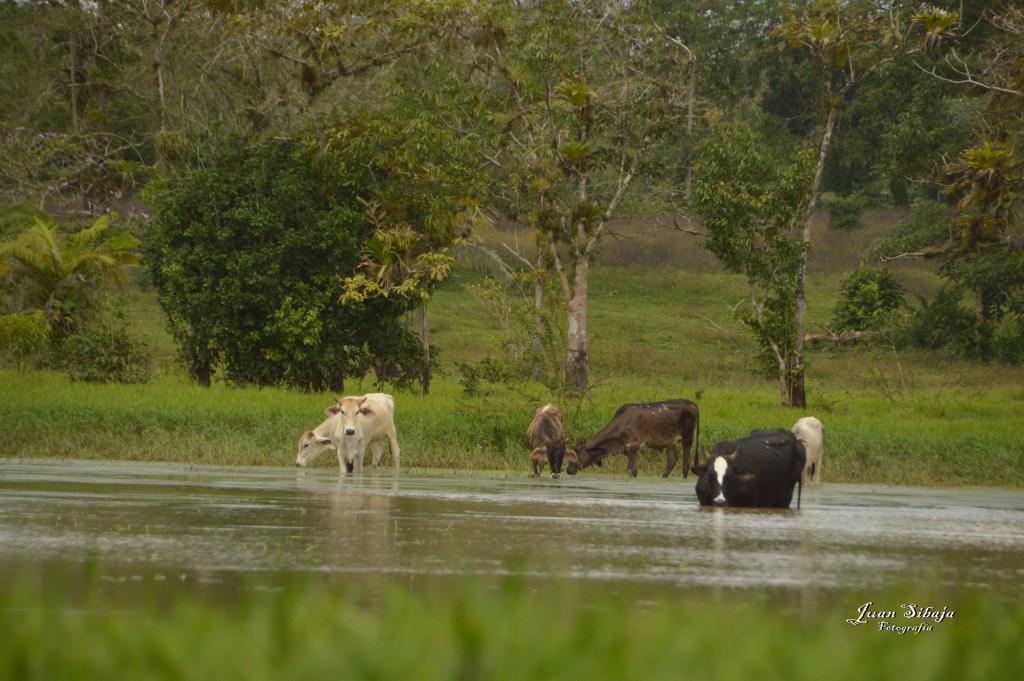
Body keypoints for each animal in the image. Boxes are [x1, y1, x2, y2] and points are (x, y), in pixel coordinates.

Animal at [565, 399, 700, 477]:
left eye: (577, 453)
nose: (568, 469)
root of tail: (693, 404)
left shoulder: (633, 447)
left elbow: (632, 471)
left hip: (688, 437)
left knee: (686, 463)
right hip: (670, 441)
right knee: (672, 460)